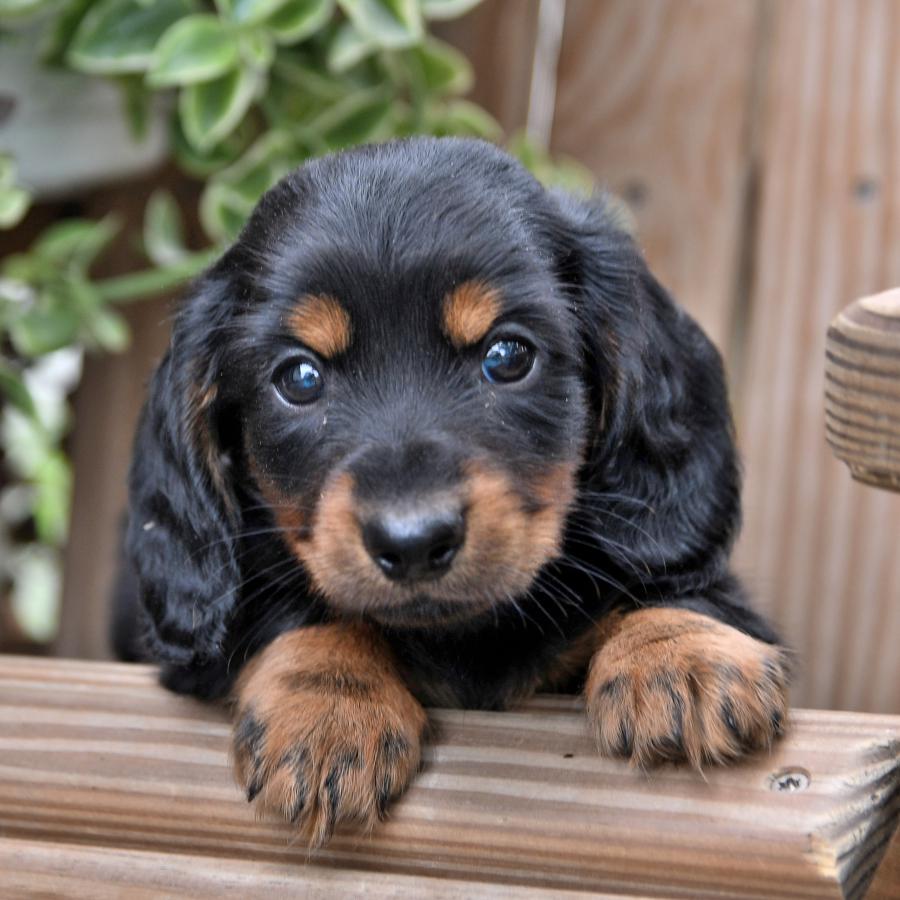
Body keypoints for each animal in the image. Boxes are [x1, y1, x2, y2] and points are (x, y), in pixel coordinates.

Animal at [126, 137, 788, 848]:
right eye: (299, 377)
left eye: (507, 355)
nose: (414, 542)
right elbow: (289, 609)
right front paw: (330, 701)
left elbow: (673, 582)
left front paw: (679, 651)